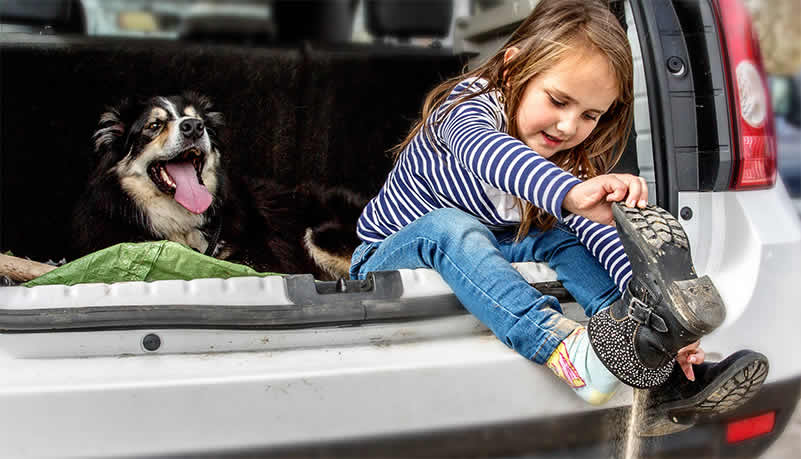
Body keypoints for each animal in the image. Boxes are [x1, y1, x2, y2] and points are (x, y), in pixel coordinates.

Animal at [73, 92, 364, 280]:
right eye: (154, 125)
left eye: (198, 120)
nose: (194, 126)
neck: (181, 224)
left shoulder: (262, 258)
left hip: (320, 233)